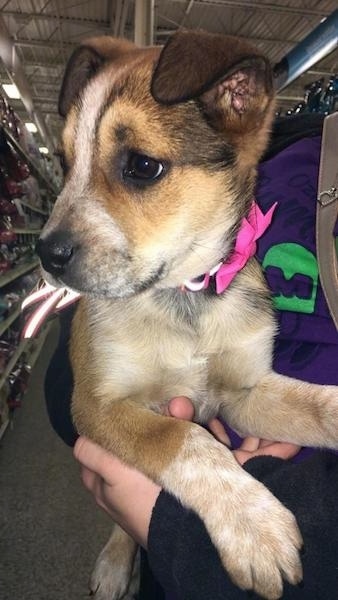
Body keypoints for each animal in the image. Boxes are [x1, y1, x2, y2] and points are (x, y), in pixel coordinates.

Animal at [36, 29, 338, 600]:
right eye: (64, 162)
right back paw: (116, 563)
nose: (46, 255)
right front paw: (253, 524)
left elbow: (317, 406)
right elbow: (182, 440)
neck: (186, 298)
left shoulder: (244, 392)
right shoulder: (97, 404)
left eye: (142, 165)